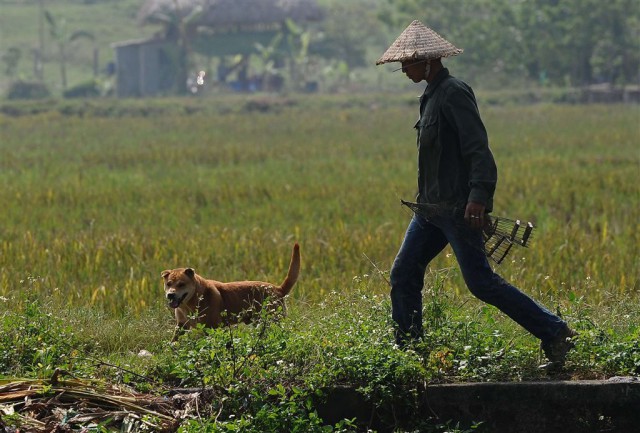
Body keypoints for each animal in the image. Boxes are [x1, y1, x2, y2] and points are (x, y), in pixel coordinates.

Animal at [160, 243, 300, 338]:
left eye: (181, 284)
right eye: (168, 284)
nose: (170, 295)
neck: (192, 301)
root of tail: (278, 289)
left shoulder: (211, 328)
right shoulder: (180, 326)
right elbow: (173, 342)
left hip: (273, 321)